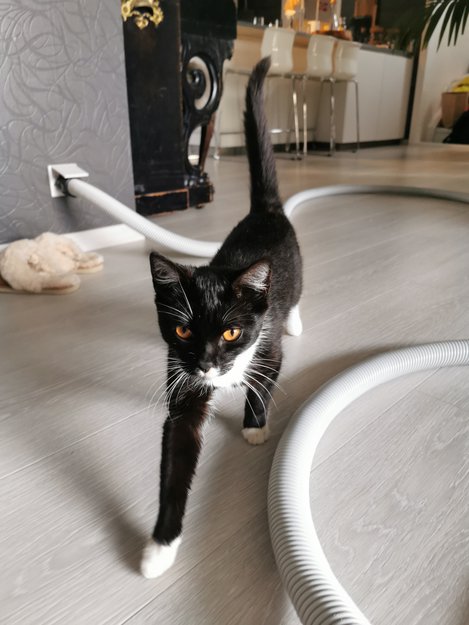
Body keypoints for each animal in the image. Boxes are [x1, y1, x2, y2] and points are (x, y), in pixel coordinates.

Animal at [140, 57, 303, 579]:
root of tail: (266, 210)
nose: (209, 364)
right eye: (182, 329)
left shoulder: (266, 348)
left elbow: (264, 381)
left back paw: (295, 321)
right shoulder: (182, 380)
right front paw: (160, 547)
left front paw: (254, 427)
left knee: (295, 299)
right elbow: (176, 455)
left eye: (232, 331)